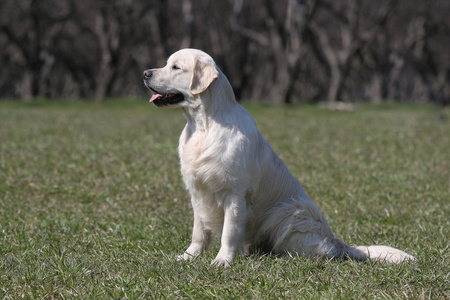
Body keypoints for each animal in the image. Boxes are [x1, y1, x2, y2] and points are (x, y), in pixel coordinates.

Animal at [142, 49, 416, 268]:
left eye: (176, 67)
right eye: (167, 63)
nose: (145, 73)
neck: (203, 126)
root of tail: (336, 241)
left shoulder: (235, 193)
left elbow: (229, 232)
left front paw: (222, 261)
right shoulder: (197, 192)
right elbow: (198, 232)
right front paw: (188, 257)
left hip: (289, 212)